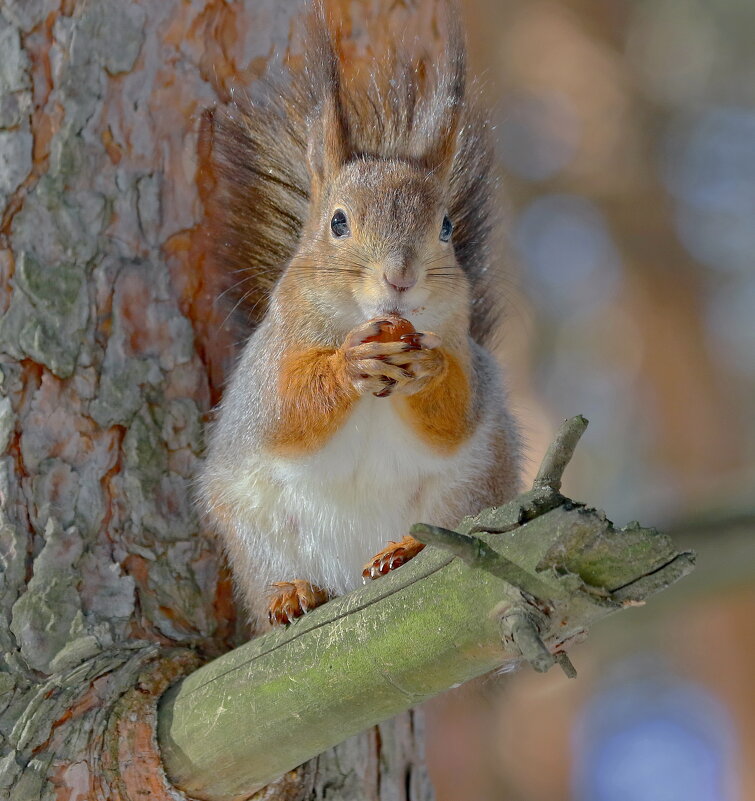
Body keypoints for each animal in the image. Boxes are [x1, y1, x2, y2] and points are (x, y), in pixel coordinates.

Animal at [198, 4, 524, 632]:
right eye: (338, 222)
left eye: (446, 227)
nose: (400, 278)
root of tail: (350, 577)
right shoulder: (268, 368)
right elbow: (289, 409)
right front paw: (349, 363)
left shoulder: (466, 358)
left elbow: (453, 415)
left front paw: (427, 371)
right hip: (255, 530)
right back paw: (291, 593)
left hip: (467, 492)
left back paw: (401, 551)